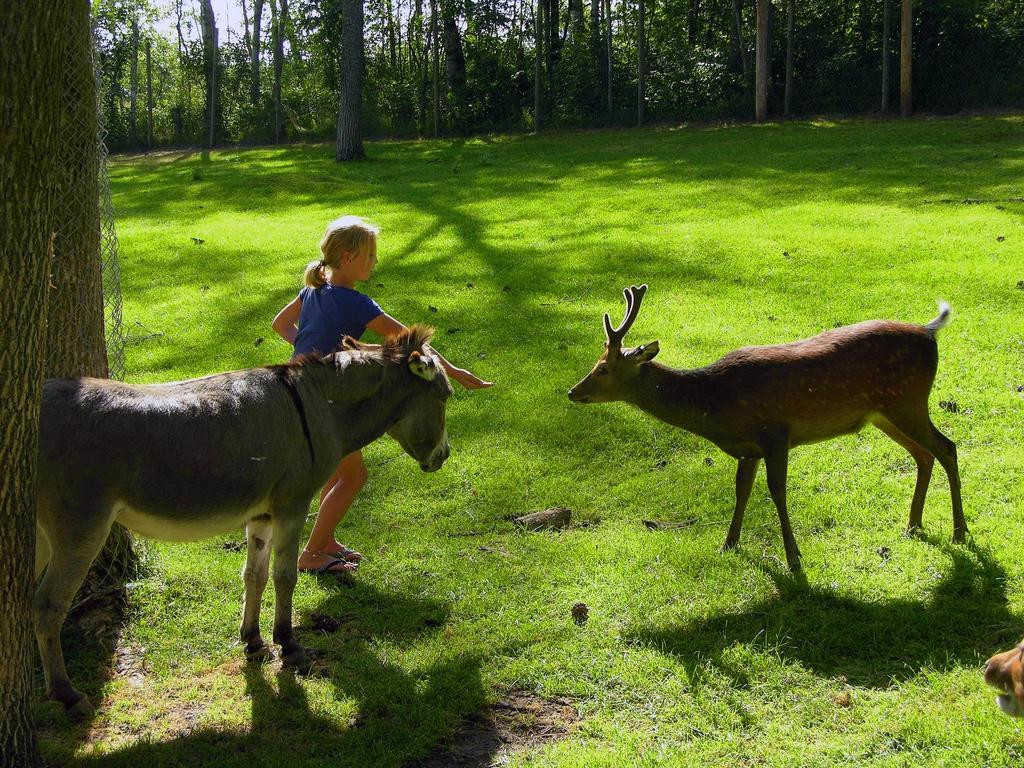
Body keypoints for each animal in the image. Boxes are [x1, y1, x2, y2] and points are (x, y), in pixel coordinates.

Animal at [573, 286, 962, 573]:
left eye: (603, 369)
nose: (572, 392)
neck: (715, 405)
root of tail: (929, 332)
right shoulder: (749, 448)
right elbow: (741, 491)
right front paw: (728, 543)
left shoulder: (775, 432)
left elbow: (777, 492)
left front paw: (794, 558)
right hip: (885, 413)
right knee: (924, 455)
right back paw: (913, 524)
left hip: (908, 400)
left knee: (947, 447)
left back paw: (959, 531)